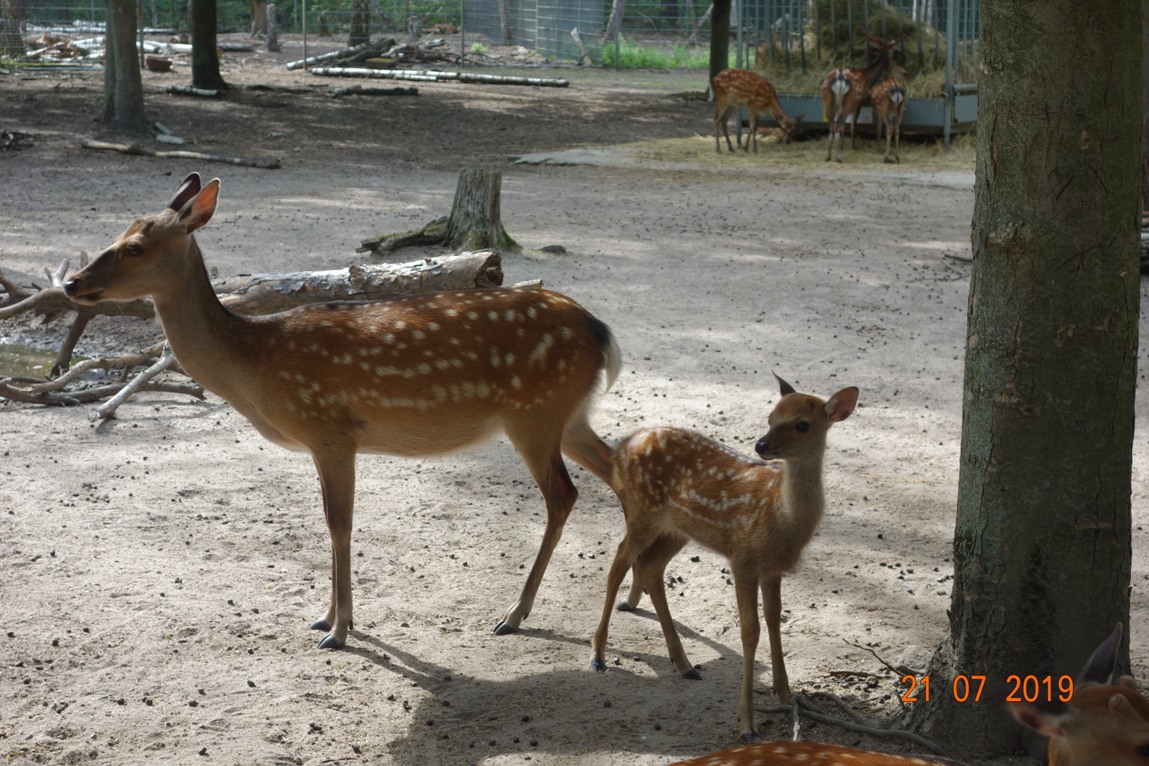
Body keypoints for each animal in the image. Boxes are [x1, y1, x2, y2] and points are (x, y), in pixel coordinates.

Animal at [62, 175, 620, 652]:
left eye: (135, 247)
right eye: (118, 233)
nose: (71, 284)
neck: (257, 366)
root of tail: (601, 331)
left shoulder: (331, 429)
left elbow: (339, 523)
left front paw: (341, 629)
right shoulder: (322, 441)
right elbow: (330, 522)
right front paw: (325, 617)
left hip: (534, 413)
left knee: (563, 494)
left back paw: (515, 614)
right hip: (567, 416)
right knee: (616, 470)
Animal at [592, 376, 854, 744]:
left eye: (802, 424)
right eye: (771, 416)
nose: (761, 444)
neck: (781, 516)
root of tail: (623, 445)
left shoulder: (772, 568)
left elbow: (774, 619)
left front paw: (784, 693)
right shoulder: (742, 558)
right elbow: (750, 631)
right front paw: (747, 724)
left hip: (677, 529)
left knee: (650, 567)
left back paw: (684, 664)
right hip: (641, 511)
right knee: (618, 562)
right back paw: (598, 656)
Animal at [822, 32, 900, 163]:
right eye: (892, 51)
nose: (893, 61)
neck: (867, 77)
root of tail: (839, 78)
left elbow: (844, 126)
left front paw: (843, 146)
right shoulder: (859, 102)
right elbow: (852, 126)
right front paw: (853, 147)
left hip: (827, 99)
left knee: (832, 124)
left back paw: (828, 156)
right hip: (848, 100)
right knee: (838, 123)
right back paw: (838, 157)